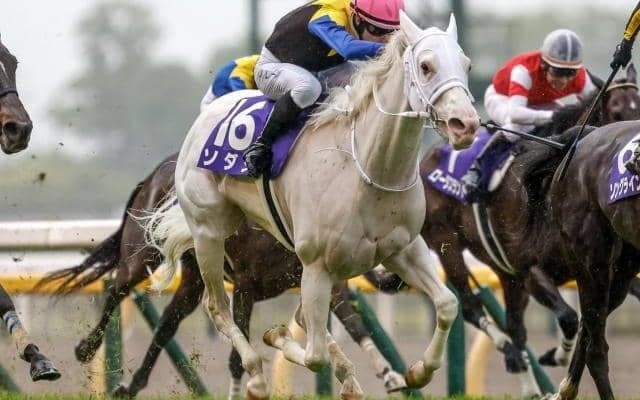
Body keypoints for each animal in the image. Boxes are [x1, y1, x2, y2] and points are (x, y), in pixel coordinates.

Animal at [39, 155, 407, 398]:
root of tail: (154, 173)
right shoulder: (245, 287)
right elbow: (236, 359)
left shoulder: (329, 284)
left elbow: (356, 327)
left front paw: (389, 375)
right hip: (142, 252)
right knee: (117, 287)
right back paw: (86, 349)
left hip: (192, 279)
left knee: (166, 325)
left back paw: (131, 385)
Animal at [145, 12, 478, 399]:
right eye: (426, 66)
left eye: (467, 65)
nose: (466, 124)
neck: (368, 167)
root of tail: (208, 113)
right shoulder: (316, 264)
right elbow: (314, 354)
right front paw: (277, 336)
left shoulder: (403, 249)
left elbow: (447, 304)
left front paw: (418, 371)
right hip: (209, 231)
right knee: (218, 307)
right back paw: (257, 376)